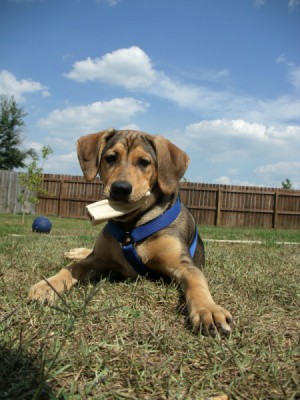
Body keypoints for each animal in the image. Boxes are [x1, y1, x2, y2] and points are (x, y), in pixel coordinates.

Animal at [28, 130, 232, 336]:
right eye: (110, 158)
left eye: (144, 162)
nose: (120, 188)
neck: (131, 226)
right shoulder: (98, 259)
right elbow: (73, 267)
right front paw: (47, 286)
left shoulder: (183, 264)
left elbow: (196, 282)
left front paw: (208, 310)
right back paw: (74, 252)